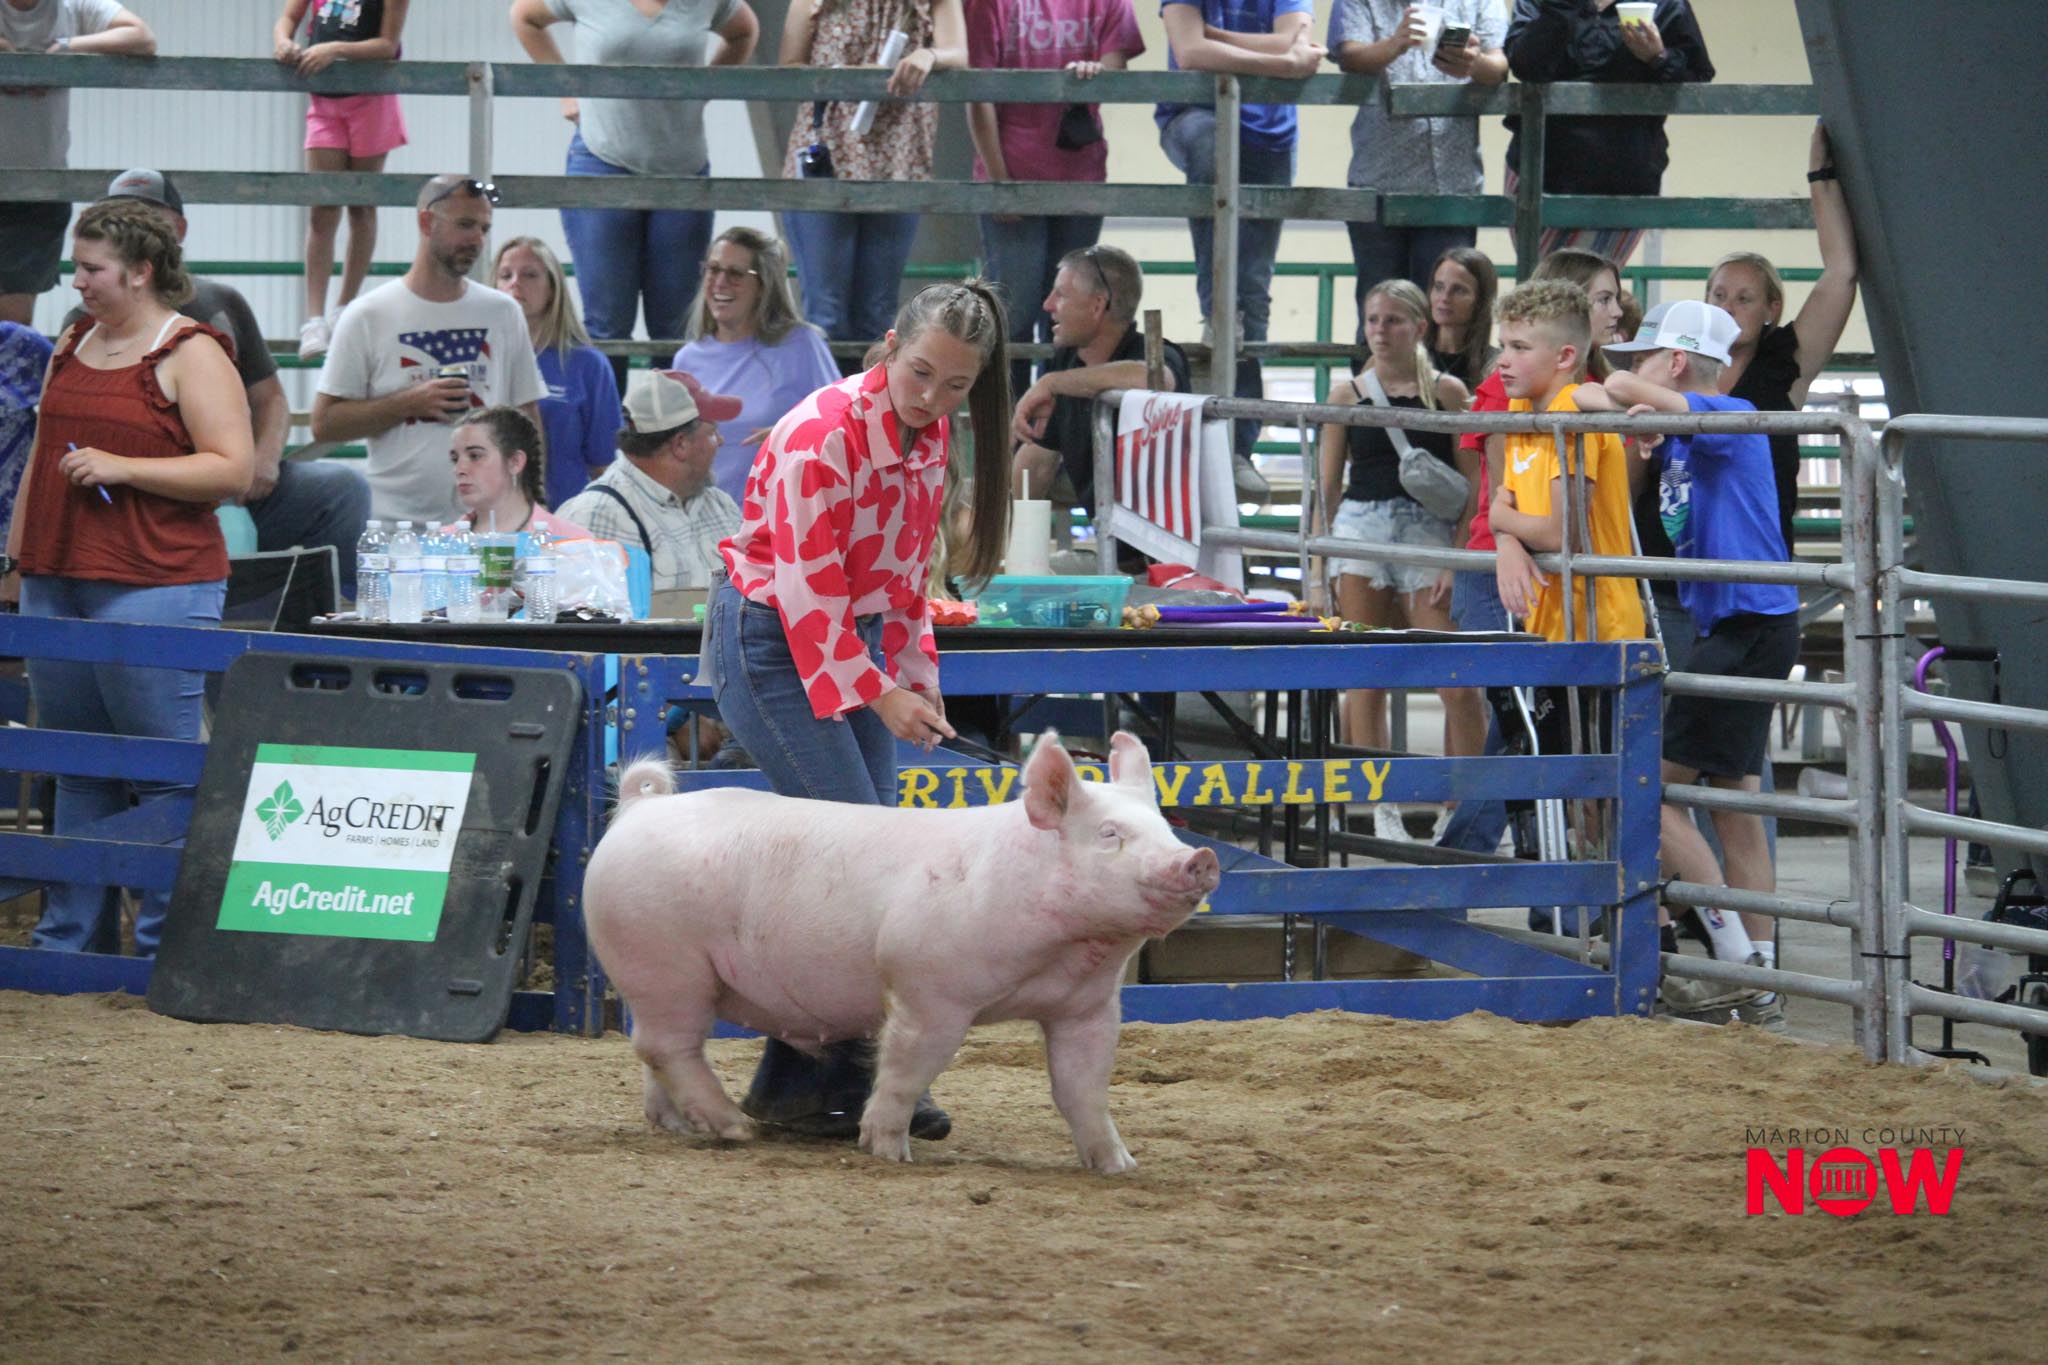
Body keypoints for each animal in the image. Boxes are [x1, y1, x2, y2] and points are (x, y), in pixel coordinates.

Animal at [582, 730, 1221, 1172]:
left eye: (1165, 827)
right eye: (1110, 835)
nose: (1199, 856)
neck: (1057, 955)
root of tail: (639, 809)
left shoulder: (1088, 1008)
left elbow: (1082, 1089)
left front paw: (1119, 1166)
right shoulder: (928, 989)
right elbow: (906, 1071)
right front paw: (889, 1152)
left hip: (657, 977)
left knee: (658, 1049)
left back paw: (681, 1127)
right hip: (665, 961)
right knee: (667, 1046)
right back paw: (737, 1129)